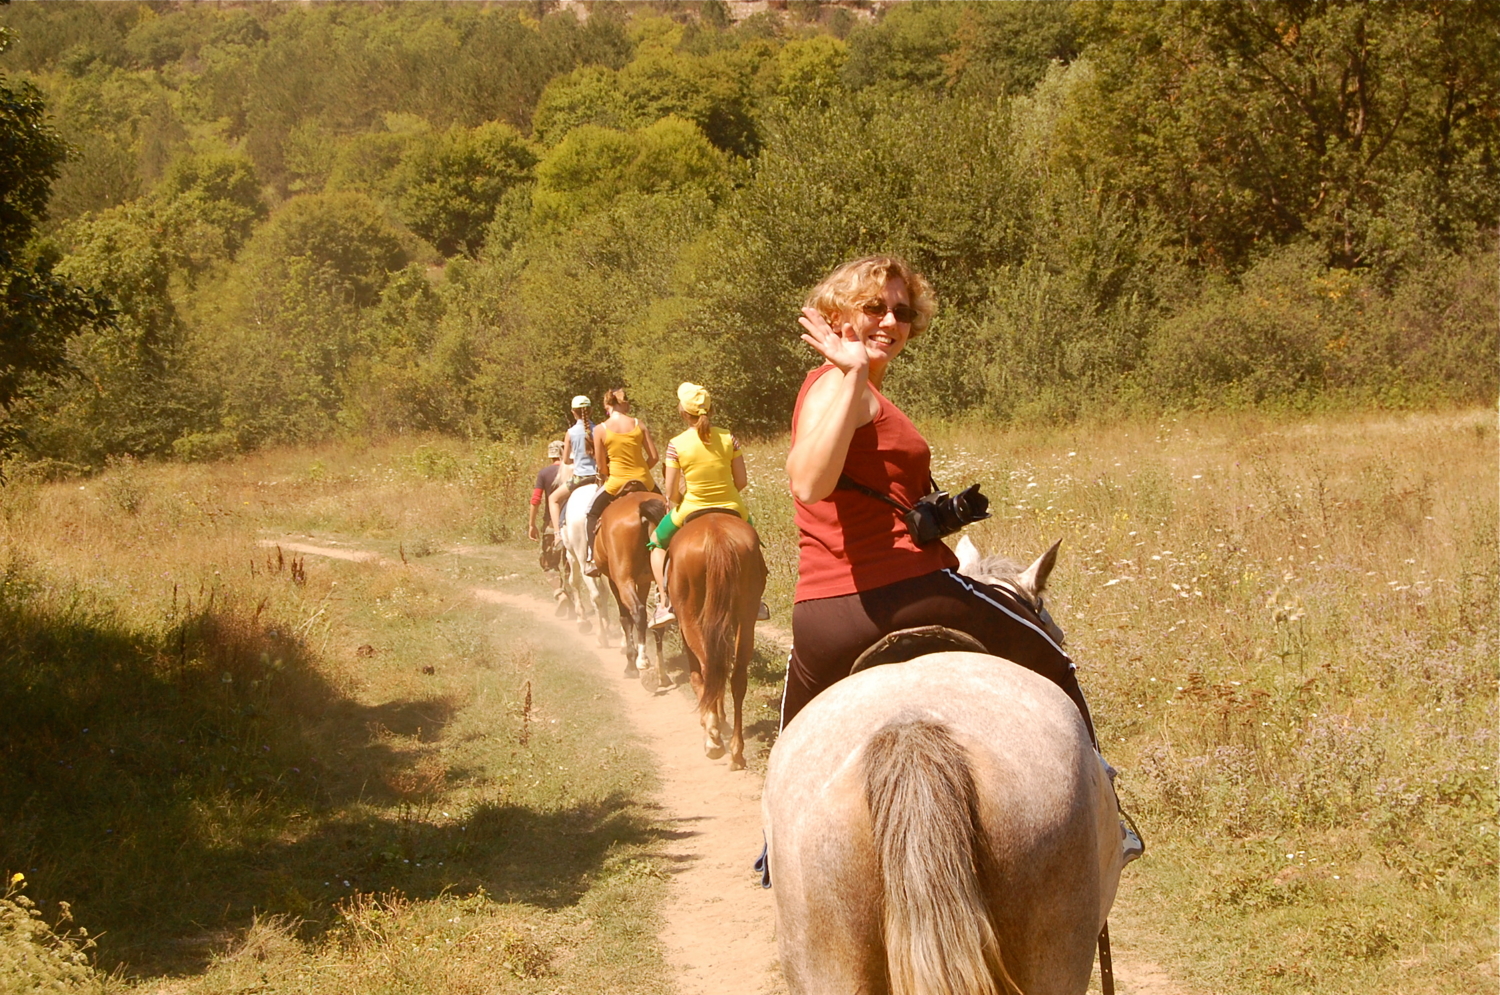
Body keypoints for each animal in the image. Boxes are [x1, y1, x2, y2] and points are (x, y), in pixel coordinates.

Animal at [558, 480, 609, 651]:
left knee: (595, 595)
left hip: (581, 558)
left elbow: (573, 582)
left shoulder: (571, 556)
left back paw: (601, 638)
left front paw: (582, 620)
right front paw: (606, 622)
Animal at [594, 486, 672, 690]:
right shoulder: (644, 581)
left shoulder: (614, 581)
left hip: (623, 579)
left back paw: (641, 661)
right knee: (659, 618)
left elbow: (625, 618)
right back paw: (661, 673)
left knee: (638, 612)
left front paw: (630, 662)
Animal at [666, 510, 768, 774]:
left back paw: (713, 739)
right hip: (745, 615)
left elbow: (696, 676)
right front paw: (720, 718)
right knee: (736, 676)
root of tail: (716, 536)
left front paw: (712, 722)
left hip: (690, 617)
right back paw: (736, 752)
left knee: (708, 668)